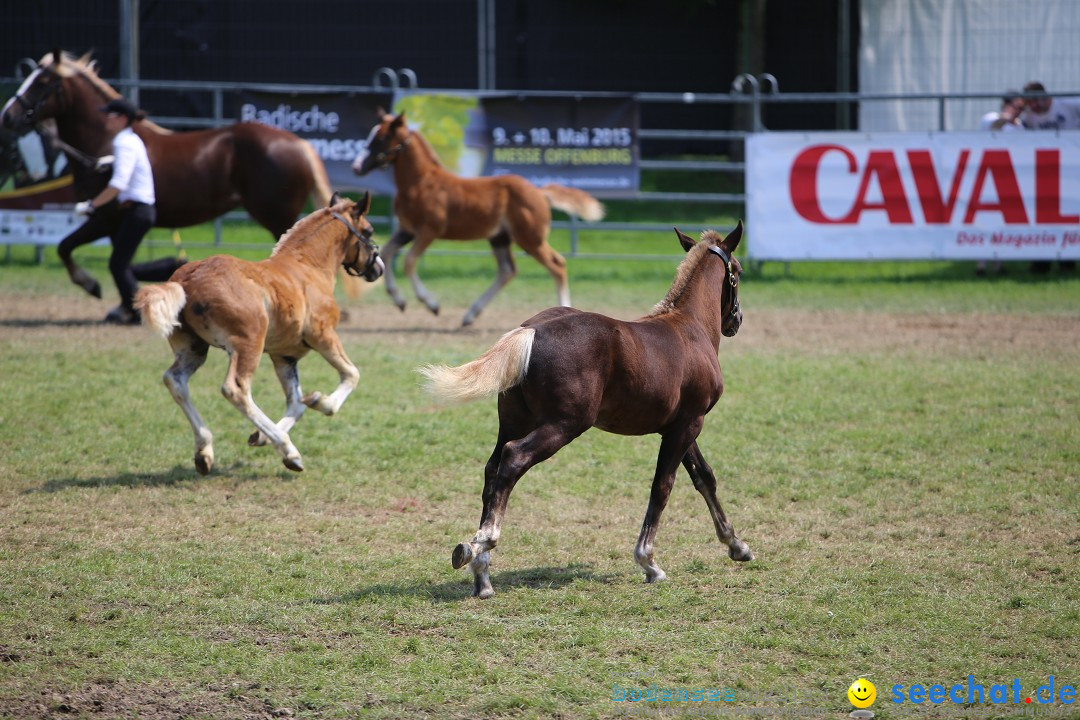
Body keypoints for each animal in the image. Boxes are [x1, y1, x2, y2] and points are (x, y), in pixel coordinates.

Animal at [0, 50, 371, 300]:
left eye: (42, 82)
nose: (8, 116)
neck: (105, 141)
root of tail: (300, 144)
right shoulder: (119, 224)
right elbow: (115, 261)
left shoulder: (104, 217)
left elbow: (66, 247)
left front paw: (90, 285)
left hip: (275, 214)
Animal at [134, 194, 382, 474]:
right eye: (368, 230)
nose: (379, 268)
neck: (308, 267)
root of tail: (185, 280)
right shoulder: (324, 335)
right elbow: (351, 375)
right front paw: (320, 402)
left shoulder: (284, 355)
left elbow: (296, 403)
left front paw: (261, 436)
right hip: (248, 344)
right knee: (235, 389)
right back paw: (289, 449)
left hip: (193, 349)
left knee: (174, 381)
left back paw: (204, 452)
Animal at [356, 111, 604, 325]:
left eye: (381, 137)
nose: (357, 166)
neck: (422, 182)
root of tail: (540, 192)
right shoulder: (407, 229)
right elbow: (387, 253)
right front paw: (399, 300)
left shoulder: (429, 231)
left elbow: (408, 262)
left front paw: (432, 305)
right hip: (500, 238)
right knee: (507, 271)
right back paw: (470, 315)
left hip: (530, 239)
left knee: (557, 265)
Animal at [419, 222, 751, 600]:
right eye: (738, 271)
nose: (737, 320)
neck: (688, 327)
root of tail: (531, 329)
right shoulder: (688, 425)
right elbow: (662, 487)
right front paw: (649, 562)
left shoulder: (678, 425)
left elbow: (704, 477)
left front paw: (737, 545)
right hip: (565, 425)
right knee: (513, 459)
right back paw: (482, 544)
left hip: (515, 421)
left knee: (492, 469)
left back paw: (481, 571)